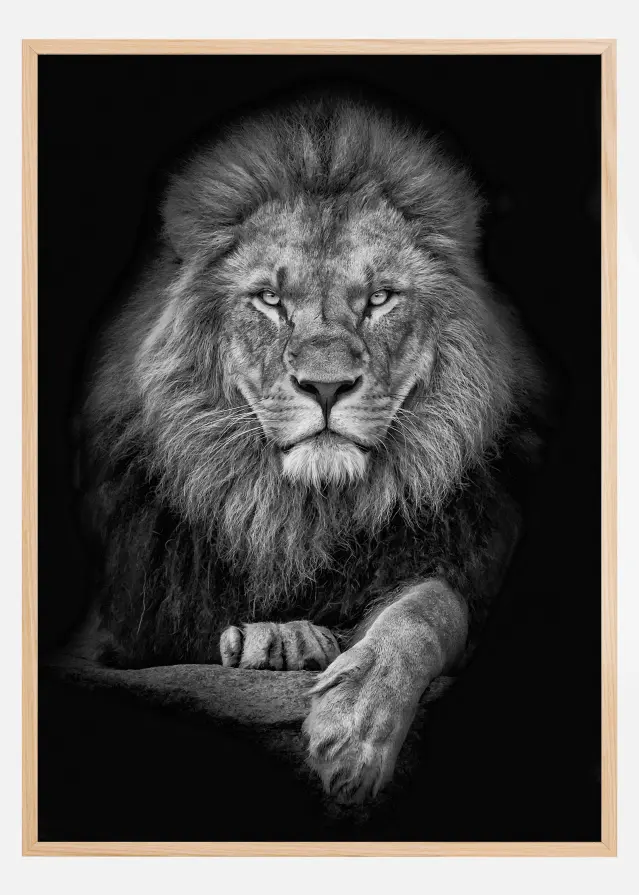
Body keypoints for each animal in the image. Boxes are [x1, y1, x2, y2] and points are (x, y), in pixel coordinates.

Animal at [76, 96, 544, 804]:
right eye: (271, 300)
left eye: (379, 298)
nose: (326, 386)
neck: (302, 514)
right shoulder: (121, 627)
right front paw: (281, 638)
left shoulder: (462, 558)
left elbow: (427, 608)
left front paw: (355, 730)